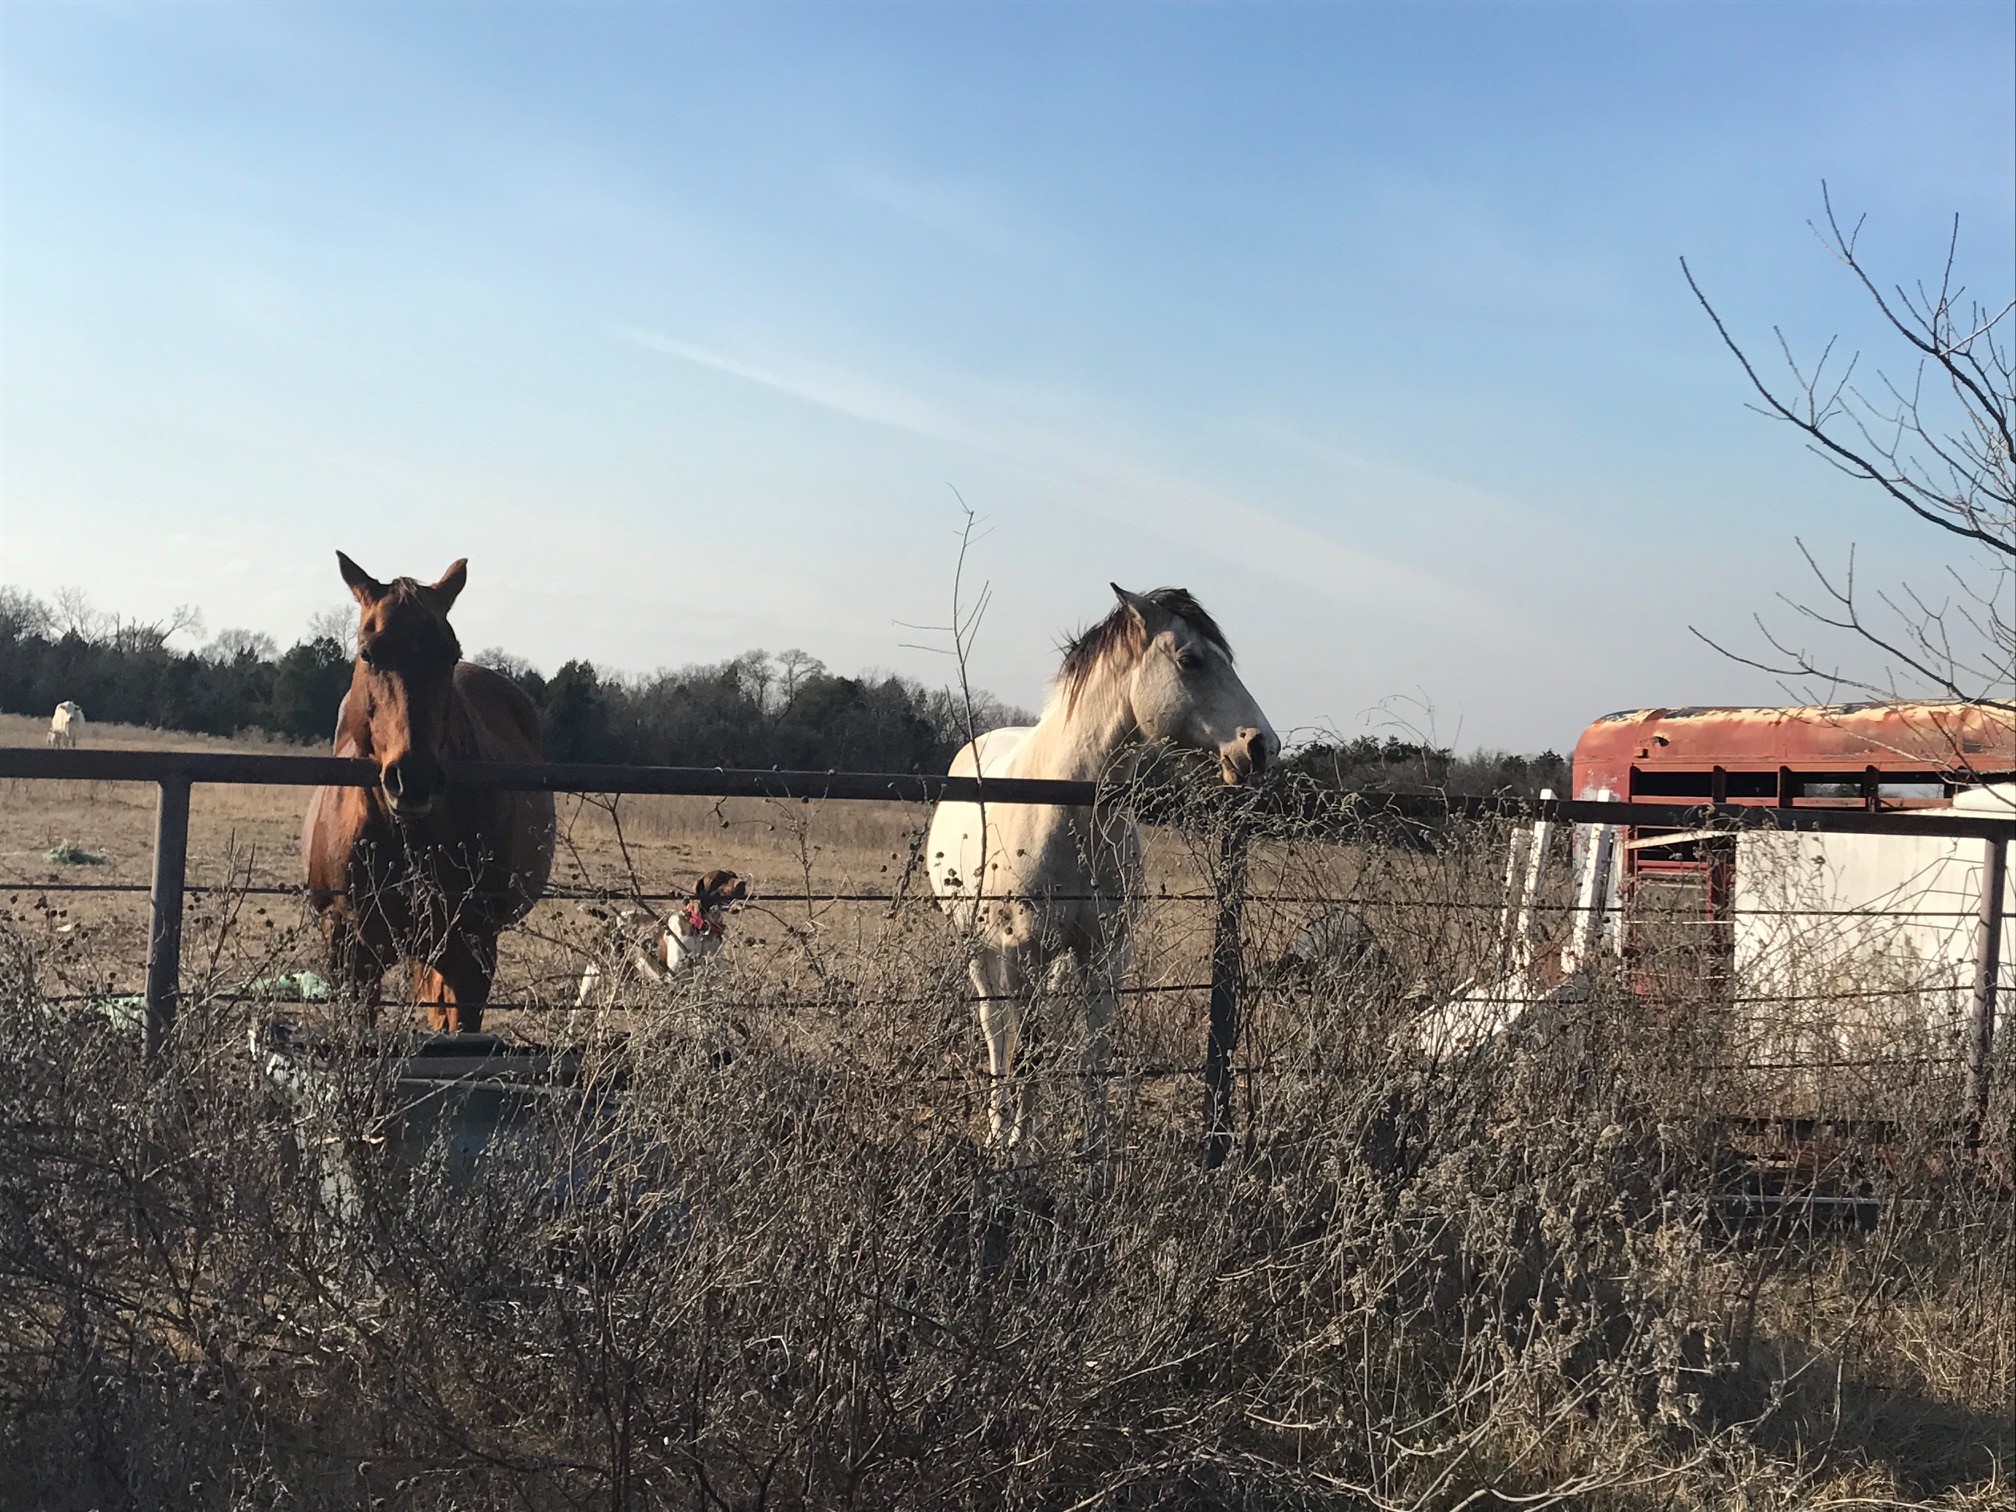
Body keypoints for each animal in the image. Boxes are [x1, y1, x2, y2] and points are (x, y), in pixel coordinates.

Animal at [927, 588, 1274, 1161]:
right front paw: (1021, 1152)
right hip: (976, 944)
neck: (1065, 811)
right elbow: (1027, 1053)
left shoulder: (1106, 954)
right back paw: (999, 1130)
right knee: (996, 1029)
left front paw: (1095, 1153)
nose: (1262, 745)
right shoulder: (1025, 952)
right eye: (1191, 660)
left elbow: (1094, 1056)